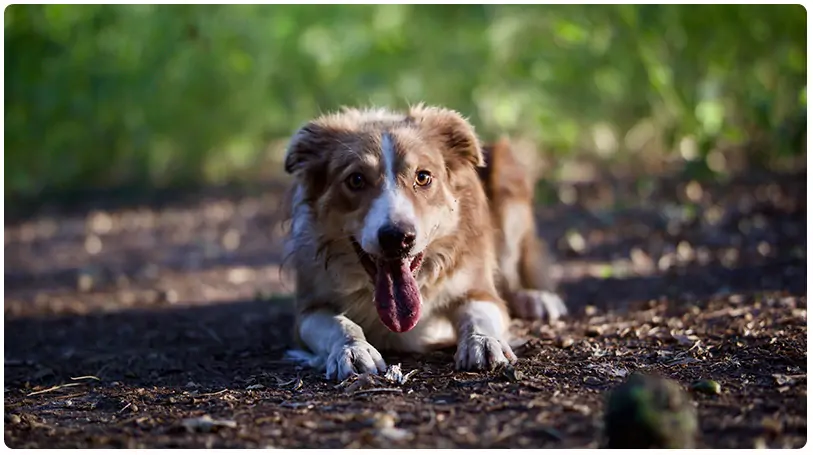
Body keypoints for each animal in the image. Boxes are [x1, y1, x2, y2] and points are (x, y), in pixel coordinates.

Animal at [282, 104, 568, 382]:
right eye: (356, 180)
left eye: (422, 177)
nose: (397, 238)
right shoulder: (308, 309)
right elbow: (340, 324)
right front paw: (353, 349)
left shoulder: (479, 289)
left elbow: (479, 313)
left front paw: (483, 341)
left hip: (508, 176)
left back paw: (535, 299)